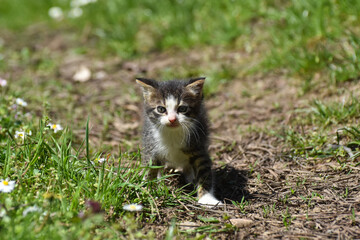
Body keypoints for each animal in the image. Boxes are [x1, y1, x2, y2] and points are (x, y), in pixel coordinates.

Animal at [135, 77, 219, 206]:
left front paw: (207, 199)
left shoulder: (199, 146)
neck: (173, 133)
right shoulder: (151, 145)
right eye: (161, 109)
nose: (172, 119)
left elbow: (204, 172)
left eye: (182, 108)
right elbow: (150, 168)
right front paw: (146, 189)